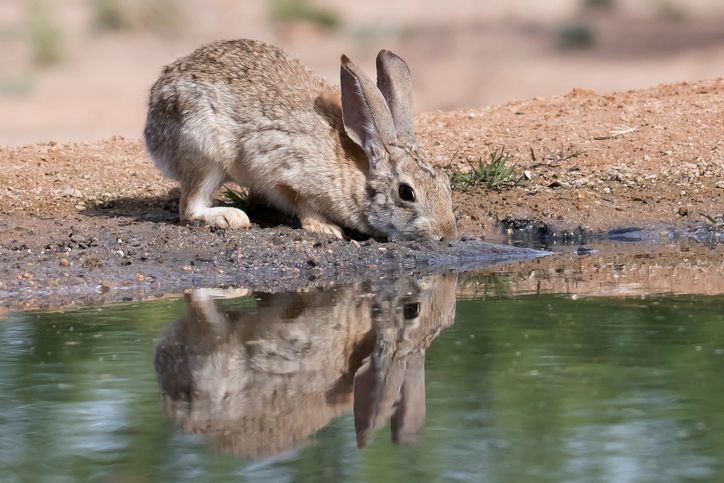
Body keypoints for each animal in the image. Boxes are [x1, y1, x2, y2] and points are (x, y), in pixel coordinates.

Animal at [144, 39, 457, 241]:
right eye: (406, 193)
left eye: (446, 183)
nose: (447, 234)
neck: (358, 168)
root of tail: (151, 123)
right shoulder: (284, 173)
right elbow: (300, 202)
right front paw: (326, 229)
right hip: (203, 150)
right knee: (189, 207)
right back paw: (230, 217)